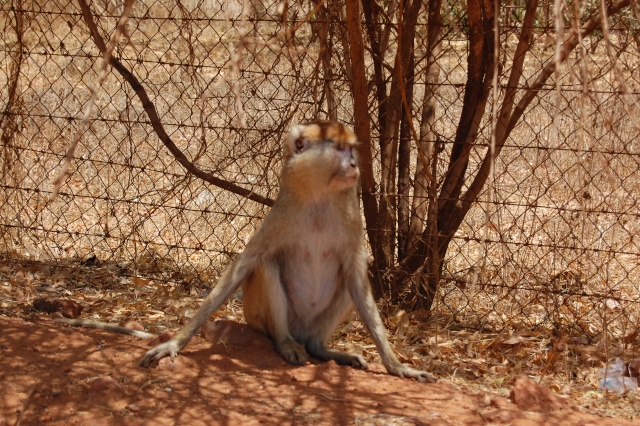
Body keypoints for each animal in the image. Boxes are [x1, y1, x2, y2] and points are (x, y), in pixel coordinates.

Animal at [141, 120, 438, 382]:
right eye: (340, 148)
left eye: (351, 149)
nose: (354, 165)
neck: (319, 197)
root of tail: (301, 334)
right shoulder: (283, 213)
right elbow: (246, 263)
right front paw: (175, 343)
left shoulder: (352, 216)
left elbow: (356, 277)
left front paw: (397, 366)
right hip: (257, 317)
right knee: (267, 266)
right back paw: (285, 342)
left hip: (310, 325)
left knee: (347, 283)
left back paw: (319, 347)